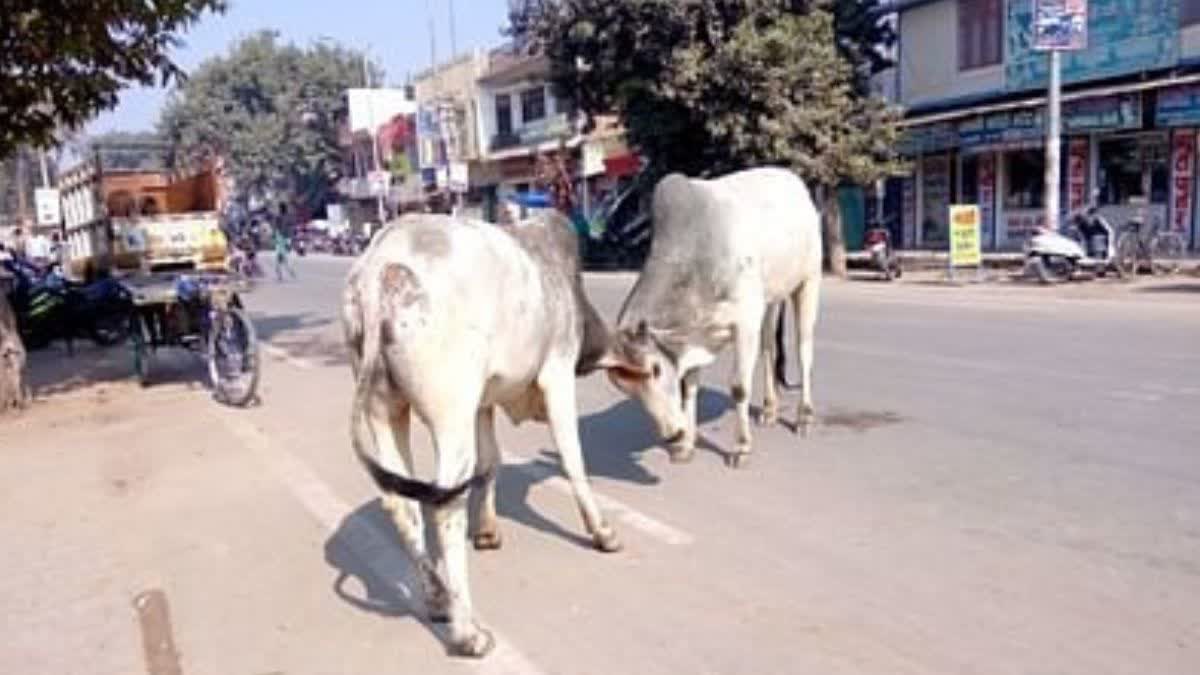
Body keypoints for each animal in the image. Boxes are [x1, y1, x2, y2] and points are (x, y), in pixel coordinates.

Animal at [343, 208, 633, 653]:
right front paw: (602, 532)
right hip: (450, 415)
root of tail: (379, 270)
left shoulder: (483, 403)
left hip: (385, 409)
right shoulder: (557, 373)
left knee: (400, 501)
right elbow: (573, 460)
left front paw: (487, 531)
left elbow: (490, 462)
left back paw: (437, 597)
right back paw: (467, 632)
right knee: (444, 502)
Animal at [609, 165, 825, 466]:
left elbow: (739, 387)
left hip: (808, 281)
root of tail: (794, 182)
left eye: (655, 370)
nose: (671, 436)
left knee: (804, 351)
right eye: (627, 389)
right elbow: (689, 387)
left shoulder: (744, 323)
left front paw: (741, 447)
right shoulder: (693, 333)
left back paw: (804, 416)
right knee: (769, 348)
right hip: (770, 300)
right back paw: (770, 409)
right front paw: (686, 444)